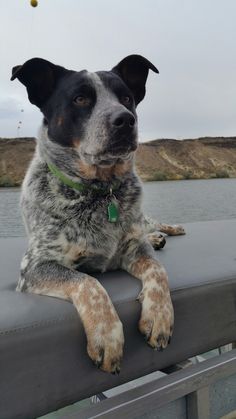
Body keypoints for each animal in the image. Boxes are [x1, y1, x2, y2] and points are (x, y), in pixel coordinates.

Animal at [11, 55, 184, 374]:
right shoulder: (34, 268)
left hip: (142, 219)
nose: (125, 119)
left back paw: (166, 232)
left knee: (150, 224)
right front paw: (107, 335)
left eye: (126, 98)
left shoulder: (133, 249)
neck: (100, 192)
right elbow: (88, 283)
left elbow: (158, 269)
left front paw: (159, 316)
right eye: (80, 99)